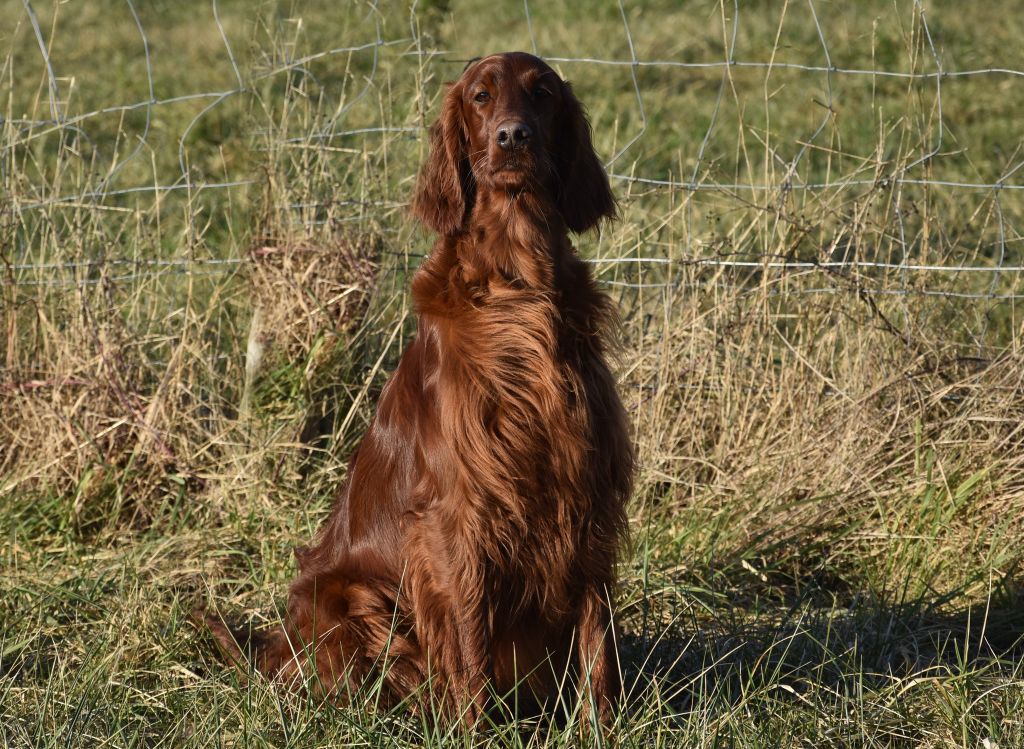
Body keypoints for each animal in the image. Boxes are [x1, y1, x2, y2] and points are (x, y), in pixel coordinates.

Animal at [206, 51, 630, 725]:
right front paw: (475, 729)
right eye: (481, 96)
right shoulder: (459, 514)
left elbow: (597, 636)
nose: (513, 137)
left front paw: (600, 725)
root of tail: (276, 647)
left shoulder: (585, 487)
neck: (517, 283)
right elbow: (470, 639)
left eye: (542, 94)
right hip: (348, 599)